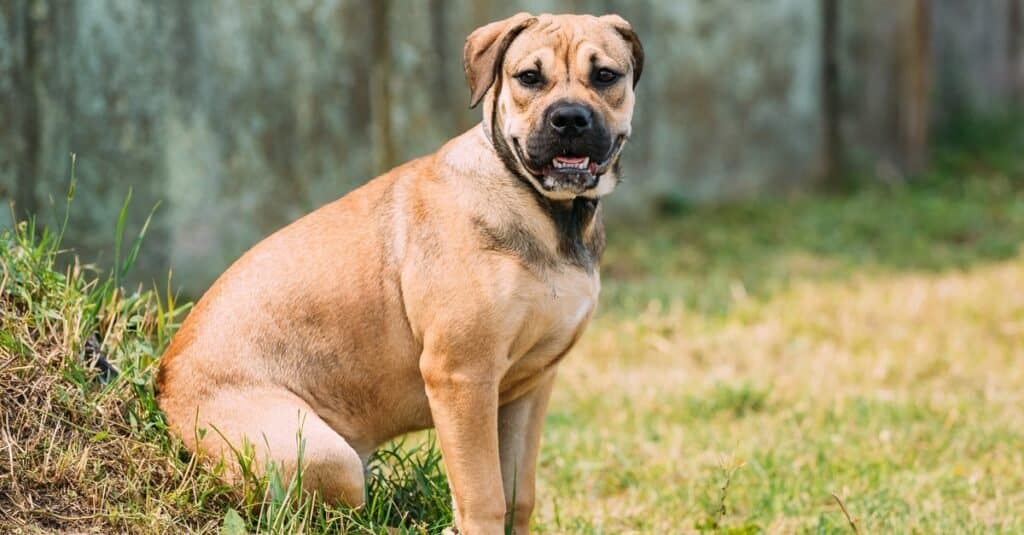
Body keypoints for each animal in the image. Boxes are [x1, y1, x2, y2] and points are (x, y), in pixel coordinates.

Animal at [154, 13, 638, 532]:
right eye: (529, 77)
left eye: (605, 76)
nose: (569, 118)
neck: (548, 212)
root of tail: (164, 382)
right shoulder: (462, 377)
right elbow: (484, 496)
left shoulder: (530, 387)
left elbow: (518, 496)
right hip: (325, 457)